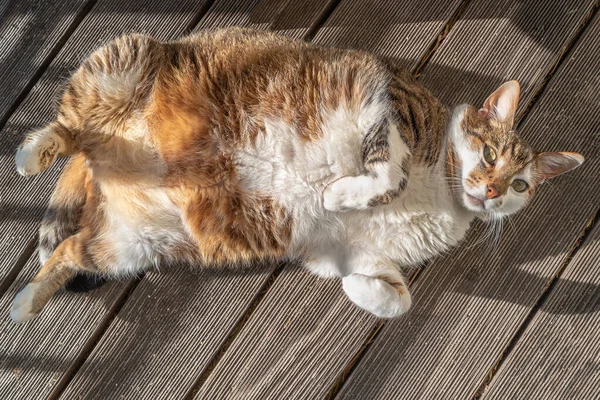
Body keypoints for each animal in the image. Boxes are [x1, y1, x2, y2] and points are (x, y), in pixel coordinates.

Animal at [9, 28, 580, 322]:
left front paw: (357, 288)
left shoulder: (346, 249)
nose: (492, 190)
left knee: (70, 249)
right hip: (124, 63)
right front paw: (340, 193)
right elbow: (386, 176)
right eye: (489, 153)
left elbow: (398, 299)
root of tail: (105, 160)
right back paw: (34, 152)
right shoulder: (386, 98)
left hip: (133, 246)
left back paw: (24, 304)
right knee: (71, 126)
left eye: (521, 185)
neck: (442, 192)